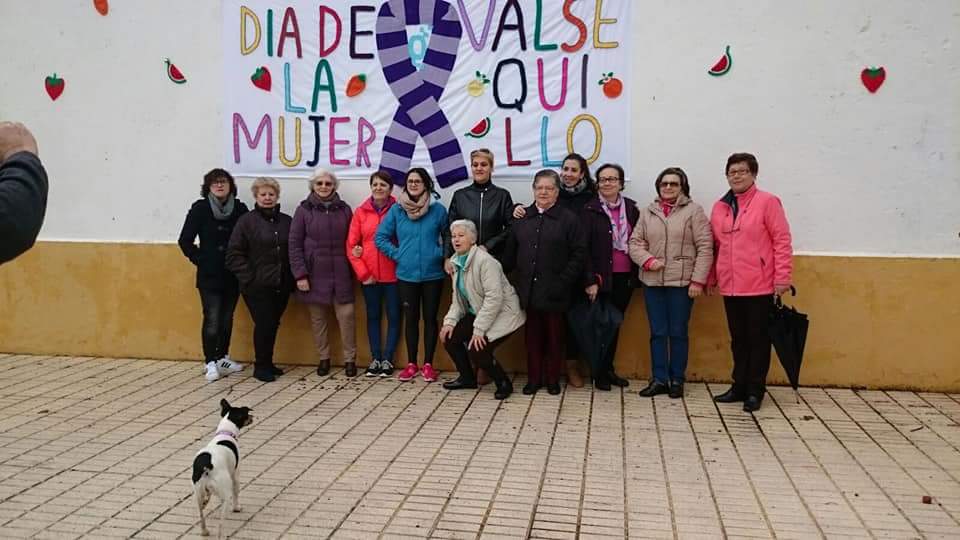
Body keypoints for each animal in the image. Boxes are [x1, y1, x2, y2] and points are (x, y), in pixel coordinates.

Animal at [189, 398, 251, 536]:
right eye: (246, 414)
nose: (253, 417)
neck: (225, 433)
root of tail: (207, 466)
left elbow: (208, 497)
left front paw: (207, 501)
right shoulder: (235, 475)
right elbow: (236, 494)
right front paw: (237, 508)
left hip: (197, 493)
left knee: (201, 515)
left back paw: (205, 531)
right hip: (225, 495)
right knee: (220, 526)